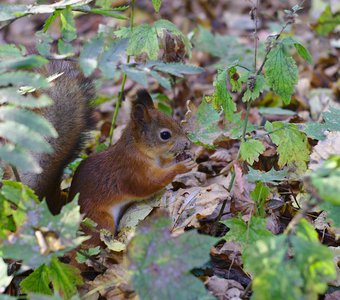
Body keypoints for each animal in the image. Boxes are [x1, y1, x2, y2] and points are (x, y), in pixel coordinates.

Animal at [67, 89, 195, 244]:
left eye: (176, 122)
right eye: (165, 135)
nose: (187, 143)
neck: (139, 150)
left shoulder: (158, 162)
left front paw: (182, 158)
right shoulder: (130, 171)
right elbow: (149, 184)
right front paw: (182, 167)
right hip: (100, 221)